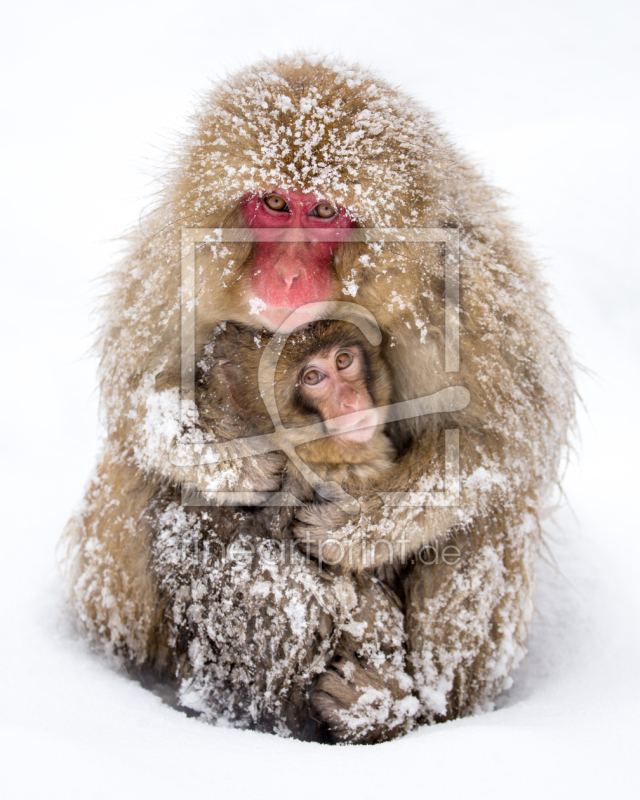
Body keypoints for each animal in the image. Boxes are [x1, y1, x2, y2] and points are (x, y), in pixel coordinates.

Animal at [62, 56, 576, 744]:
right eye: (276, 203)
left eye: (326, 210)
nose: (284, 276)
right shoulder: (178, 266)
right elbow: (137, 394)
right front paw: (230, 459)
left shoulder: (466, 292)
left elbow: (502, 442)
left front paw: (356, 528)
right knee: (139, 472)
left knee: (489, 516)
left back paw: (404, 709)